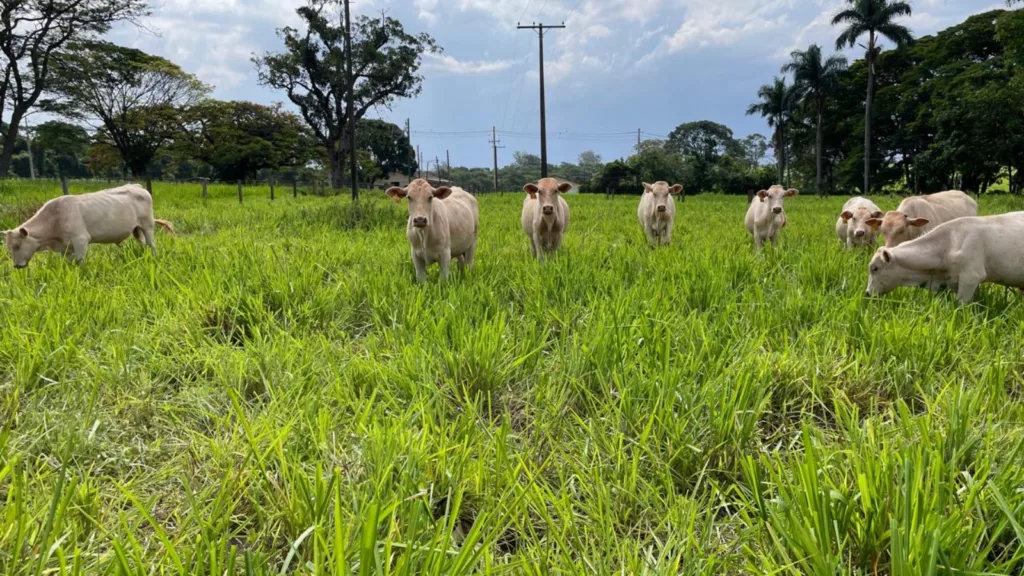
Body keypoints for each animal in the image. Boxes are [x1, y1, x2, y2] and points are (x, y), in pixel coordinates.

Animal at [3, 182, 176, 268]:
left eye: (17, 246)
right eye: (9, 248)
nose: (17, 266)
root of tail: (136, 186)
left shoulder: (80, 240)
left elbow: (80, 262)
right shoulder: (65, 248)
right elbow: (69, 264)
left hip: (147, 225)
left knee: (152, 244)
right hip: (136, 229)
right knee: (143, 244)